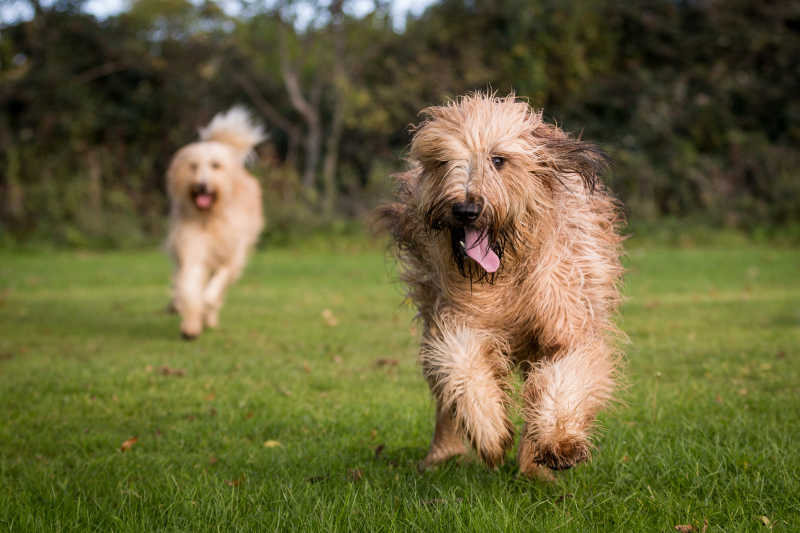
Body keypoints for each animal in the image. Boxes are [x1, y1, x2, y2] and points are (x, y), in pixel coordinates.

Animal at [166, 106, 266, 338]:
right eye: (193, 166)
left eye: (215, 166)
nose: (202, 185)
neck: (210, 217)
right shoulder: (192, 246)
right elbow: (189, 285)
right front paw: (190, 324)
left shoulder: (231, 254)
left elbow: (215, 286)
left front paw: (206, 305)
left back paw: (209, 318)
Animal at [378, 91, 628, 474]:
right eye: (443, 161)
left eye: (498, 160)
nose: (466, 209)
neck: (506, 275)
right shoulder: (458, 319)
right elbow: (462, 367)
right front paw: (491, 434)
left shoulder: (568, 318)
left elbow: (565, 377)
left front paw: (559, 443)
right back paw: (441, 454)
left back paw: (534, 465)